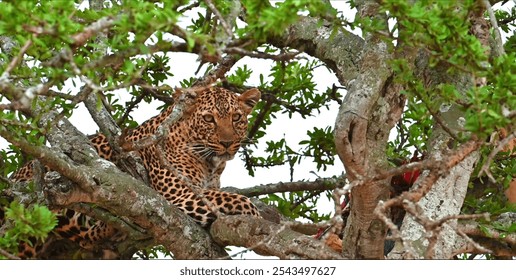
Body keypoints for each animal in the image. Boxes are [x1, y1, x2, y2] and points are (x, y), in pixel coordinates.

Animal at [4, 86, 262, 258]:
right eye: (209, 119)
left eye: (236, 117)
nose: (227, 143)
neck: (210, 163)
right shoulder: (175, 197)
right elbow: (235, 198)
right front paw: (257, 221)